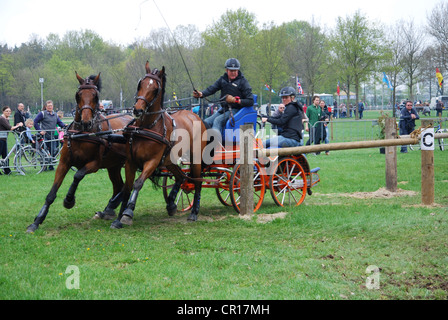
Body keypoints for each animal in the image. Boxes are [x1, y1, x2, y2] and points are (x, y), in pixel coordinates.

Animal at [26, 72, 133, 232]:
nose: (86, 121)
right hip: (113, 165)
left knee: (128, 186)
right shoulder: (63, 163)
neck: (81, 134)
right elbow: (51, 193)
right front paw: (37, 220)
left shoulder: (94, 165)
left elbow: (77, 175)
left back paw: (114, 207)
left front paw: (69, 200)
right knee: (119, 185)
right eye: (78, 95)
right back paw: (108, 209)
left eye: (95, 96)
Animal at [111, 62, 207, 228]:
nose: (137, 109)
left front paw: (128, 212)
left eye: (155, 89)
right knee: (180, 177)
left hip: (195, 158)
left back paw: (194, 212)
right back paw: (171, 203)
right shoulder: (130, 162)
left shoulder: (152, 161)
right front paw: (118, 219)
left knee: (197, 181)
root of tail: (194, 115)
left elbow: (138, 183)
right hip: (169, 160)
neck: (146, 127)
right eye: (140, 84)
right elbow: (127, 188)